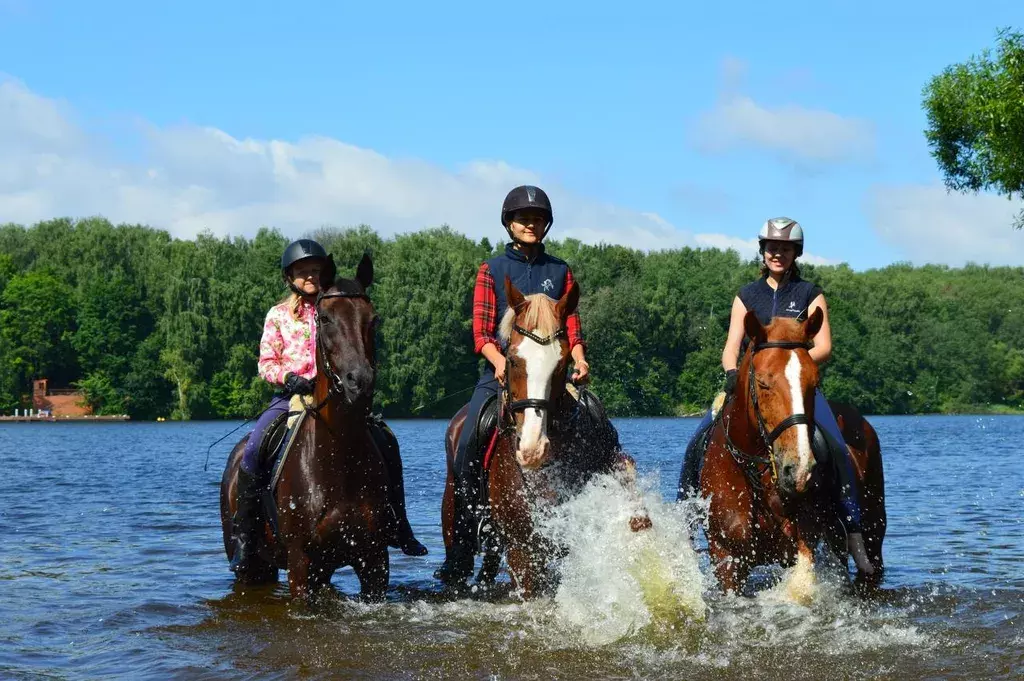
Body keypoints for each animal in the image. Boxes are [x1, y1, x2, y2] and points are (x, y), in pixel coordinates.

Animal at [700, 307, 884, 593]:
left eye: (814, 383)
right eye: (763, 383)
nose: (799, 471)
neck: (757, 474)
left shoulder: (804, 540)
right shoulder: (725, 557)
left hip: (873, 535)